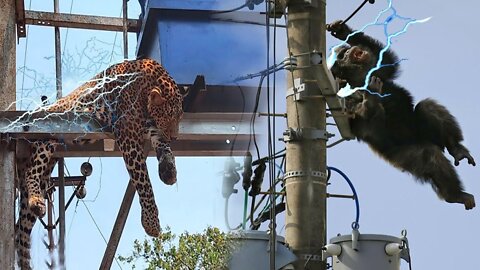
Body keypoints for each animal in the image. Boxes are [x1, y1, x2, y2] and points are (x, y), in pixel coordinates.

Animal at [14, 57, 184, 270]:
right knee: (32, 169)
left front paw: (169, 171)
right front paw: (151, 223)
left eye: (179, 117)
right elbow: (144, 182)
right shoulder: (127, 133)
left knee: (20, 228)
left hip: (46, 173)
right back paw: (37, 200)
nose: (176, 137)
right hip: (47, 139)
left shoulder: (149, 127)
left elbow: (163, 146)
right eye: (169, 116)